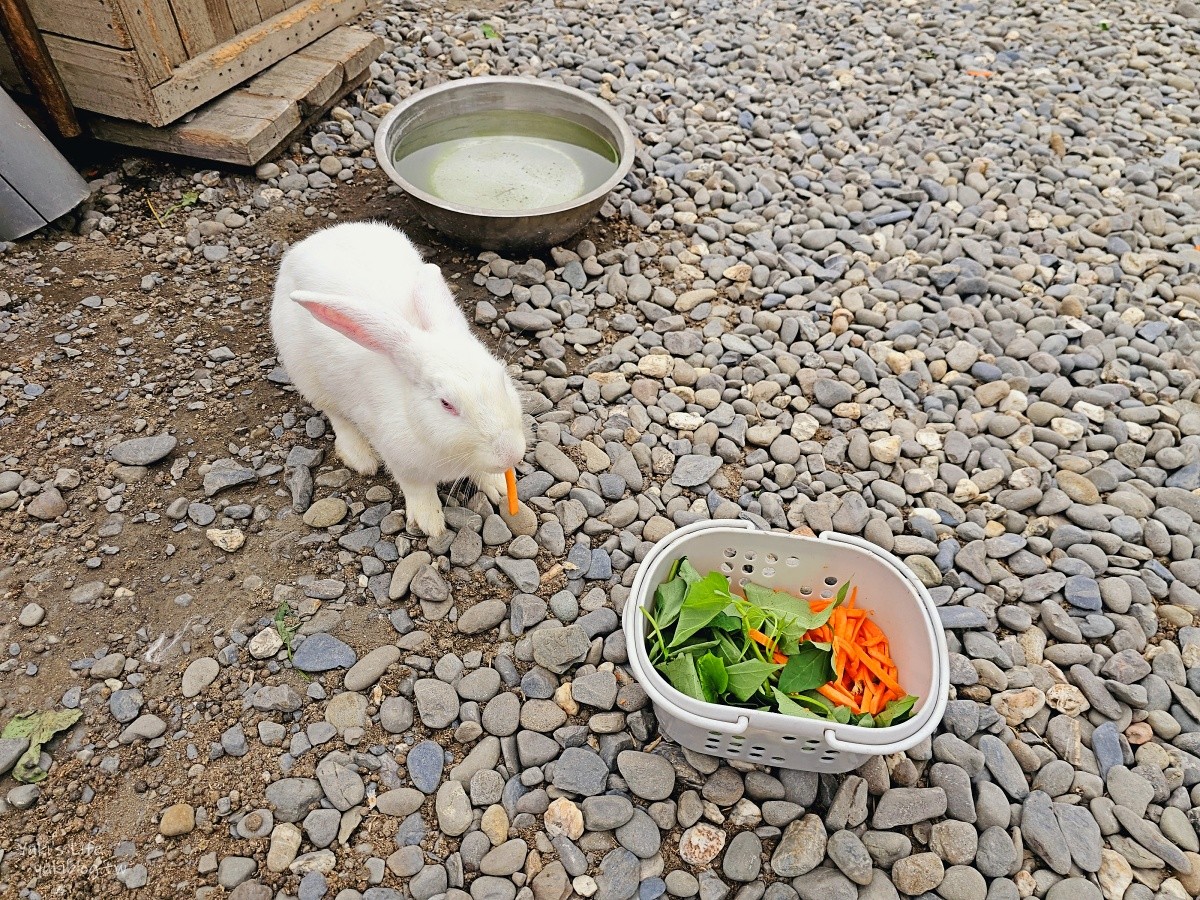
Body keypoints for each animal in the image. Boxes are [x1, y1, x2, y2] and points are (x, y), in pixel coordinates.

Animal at [272, 222, 525, 540]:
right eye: (446, 404)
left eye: (502, 379)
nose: (511, 454)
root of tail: (312, 240)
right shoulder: (402, 462)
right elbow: (418, 491)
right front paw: (431, 524)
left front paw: (499, 488)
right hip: (307, 374)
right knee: (335, 414)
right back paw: (361, 458)